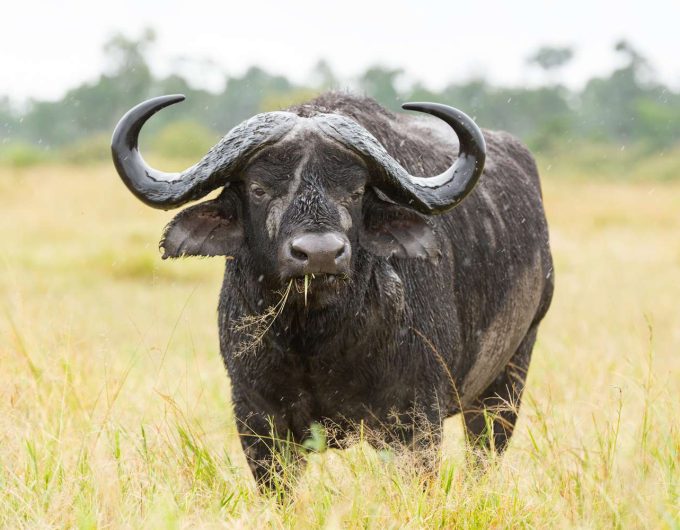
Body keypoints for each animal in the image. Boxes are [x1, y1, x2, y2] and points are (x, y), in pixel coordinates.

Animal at [111, 92, 554, 489]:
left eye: (355, 191)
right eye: (259, 188)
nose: (320, 254)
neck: (316, 338)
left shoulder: (416, 420)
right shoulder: (257, 419)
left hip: (509, 377)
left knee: (484, 456)